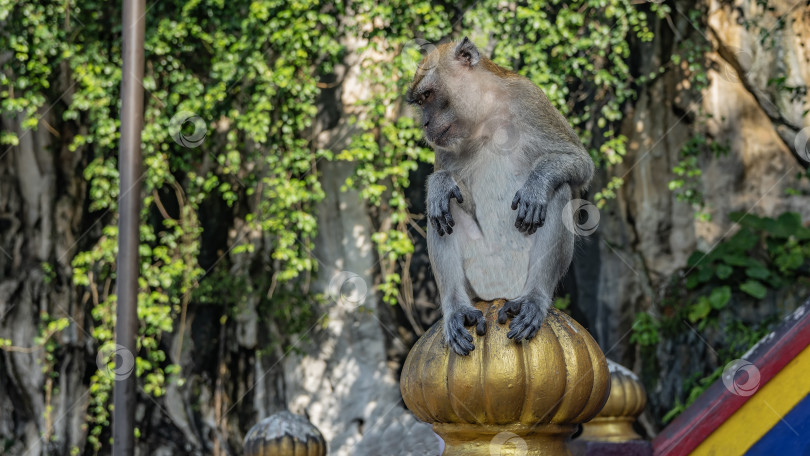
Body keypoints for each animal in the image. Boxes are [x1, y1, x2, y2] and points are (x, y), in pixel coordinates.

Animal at [408, 36, 592, 356]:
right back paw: (456, 307)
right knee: (442, 211)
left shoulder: (529, 98)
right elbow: (451, 193)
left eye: (428, 95)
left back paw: (533, 299)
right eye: (420, 101)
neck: (485, 115)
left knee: (558, 192)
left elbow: (579, 163)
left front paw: (537, 184)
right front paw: (440, 184)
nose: (426, 124)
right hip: (478, 272)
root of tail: (500, 292)